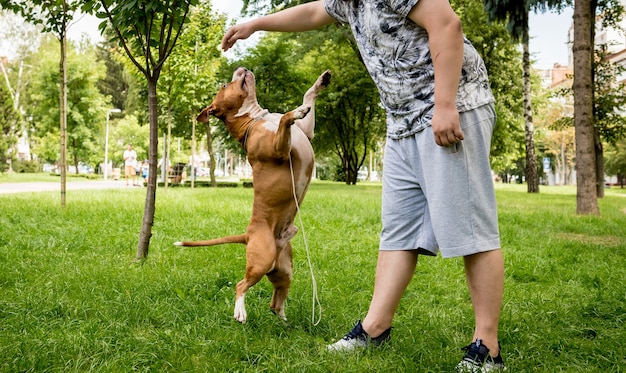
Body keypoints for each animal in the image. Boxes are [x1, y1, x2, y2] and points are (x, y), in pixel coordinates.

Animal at [173, 67, 330, 322]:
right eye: (225, 85)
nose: (242, 68)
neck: (256, 117)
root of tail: (248, 234)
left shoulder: (305, 132)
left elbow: (308, 97)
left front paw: (319, 83)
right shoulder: (279, 148)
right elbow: (286, 118)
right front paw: (295, 111)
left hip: (283, 270)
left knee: (275, 302)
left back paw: (283, 320)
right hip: (261, 260)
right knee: (241, 285)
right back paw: (240, 311)